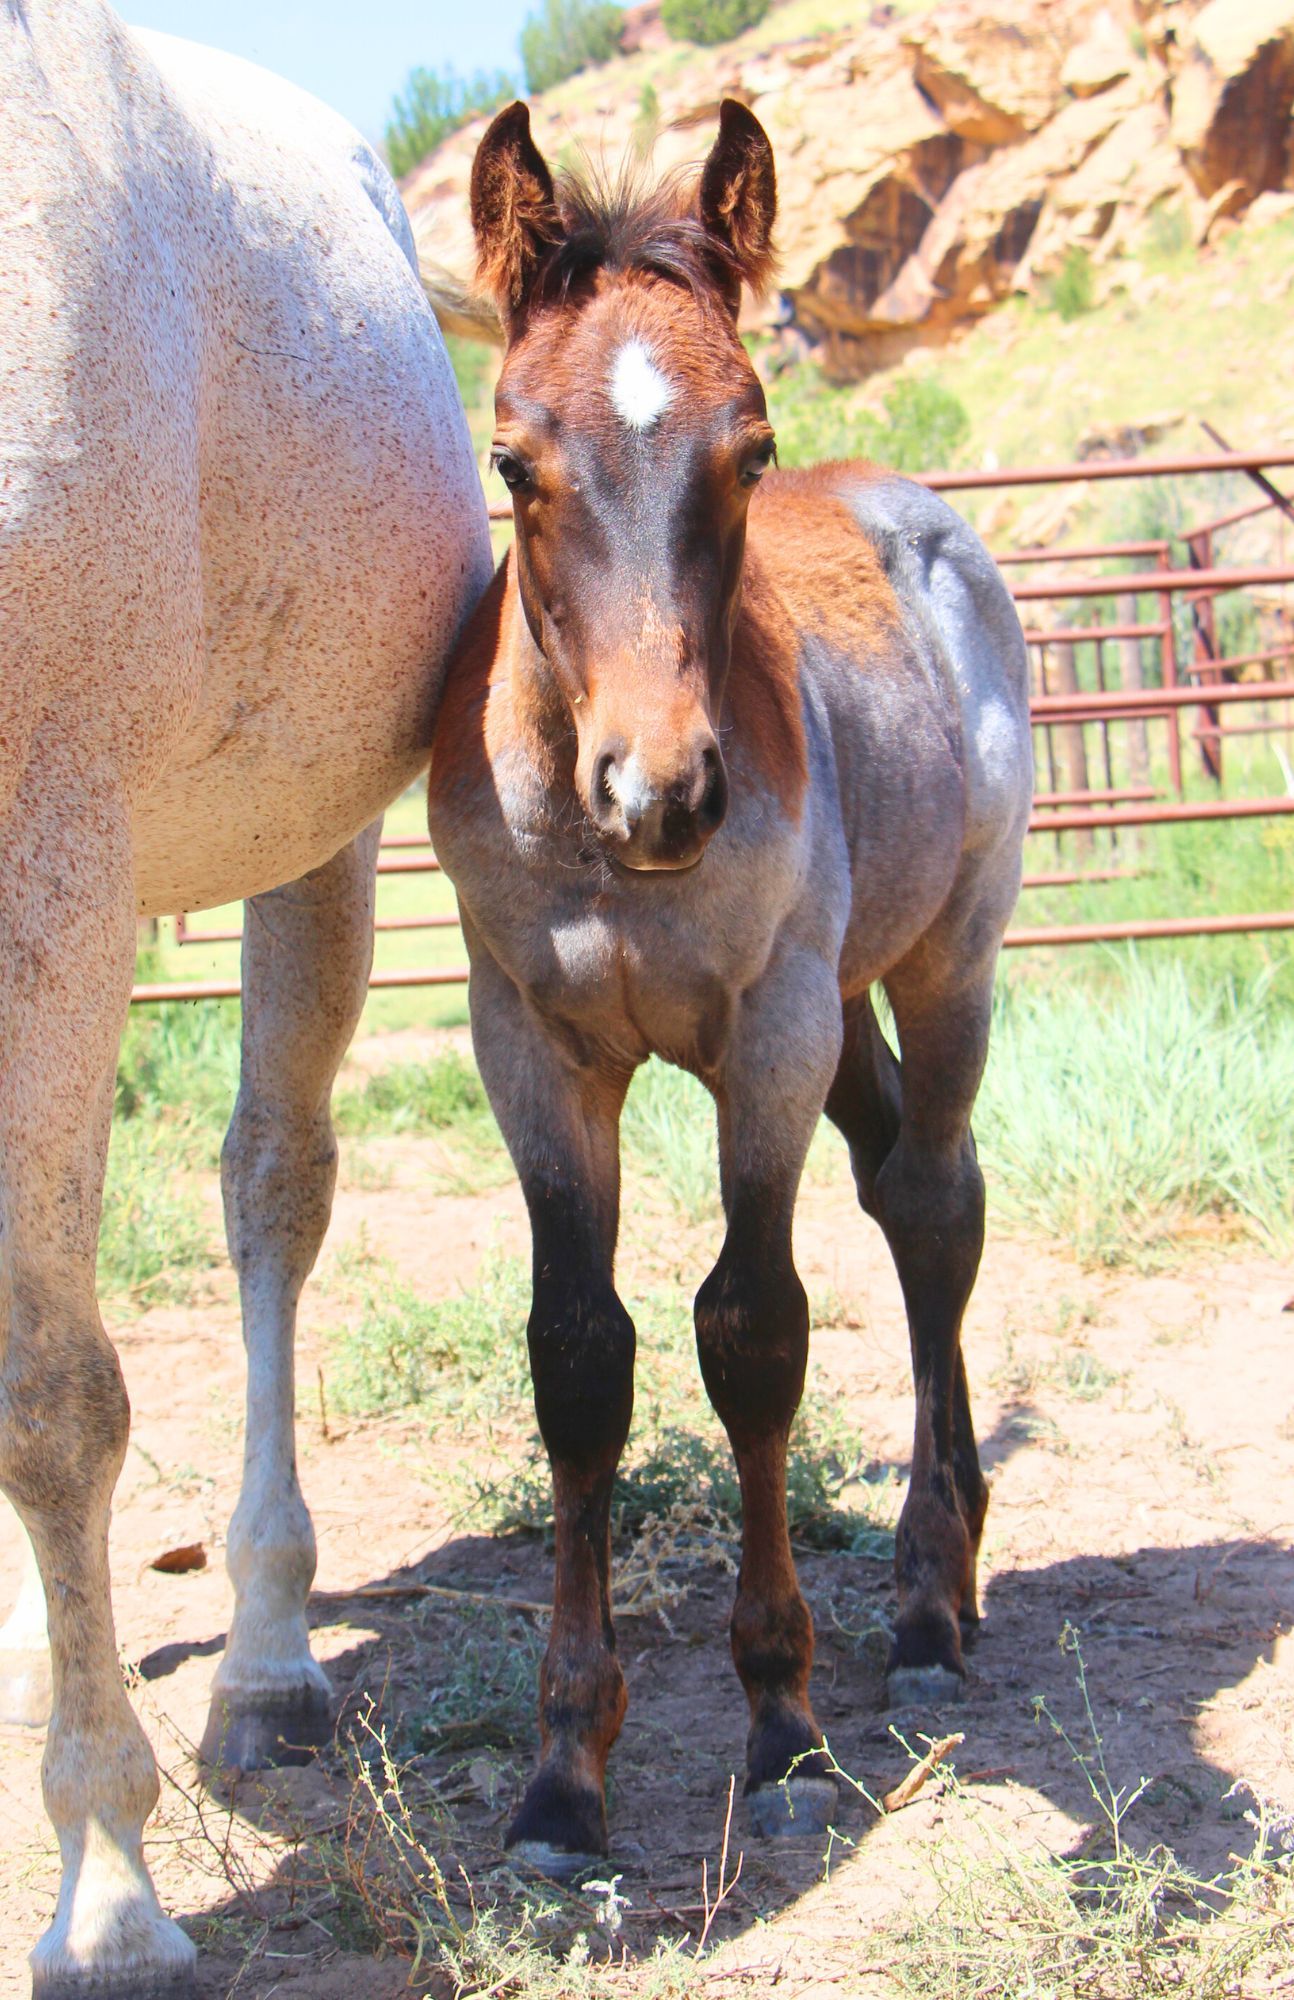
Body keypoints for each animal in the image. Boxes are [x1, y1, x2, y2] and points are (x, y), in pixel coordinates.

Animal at [427, 98, 1033, 1876]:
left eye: (748, 452)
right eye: (513, 462)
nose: (662, 793)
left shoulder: (764, 1031)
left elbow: (750, 1330)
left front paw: (780, 1724)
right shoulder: (531, 1045)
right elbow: (578, 1355)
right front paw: (563, 1775)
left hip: (943, 955)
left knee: (935, 1202)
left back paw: (927, 1597)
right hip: (850, 1002)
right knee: (902, 1181)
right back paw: (953, 1548)